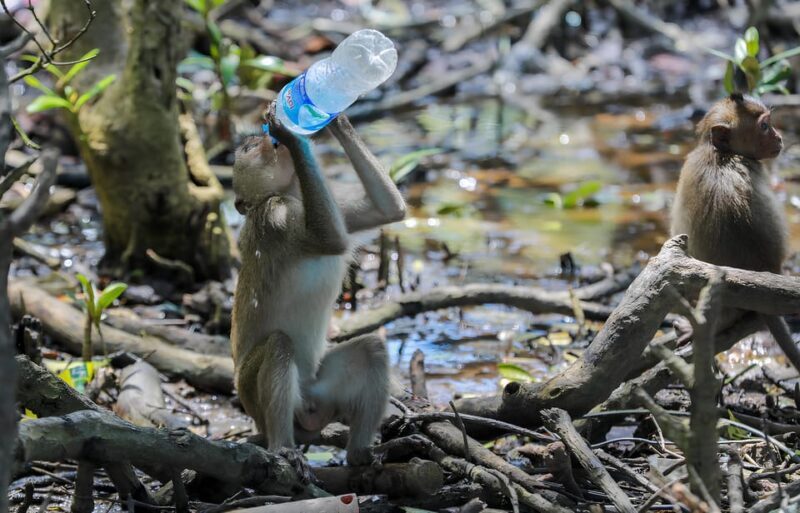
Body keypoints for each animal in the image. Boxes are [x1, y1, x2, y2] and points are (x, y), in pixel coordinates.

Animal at [230, 108, 406, 465]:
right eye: (248, 149)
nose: (264, 138)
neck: (293, 193)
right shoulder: (274, 216)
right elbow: (330, 240)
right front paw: (294, 134)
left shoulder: (334, 205)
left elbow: (388, 210)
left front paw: (334, 120)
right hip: (253, 398)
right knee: (279, 345)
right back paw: (282, 446)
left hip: (320, 391)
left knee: (372, 349)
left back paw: (360, 454)